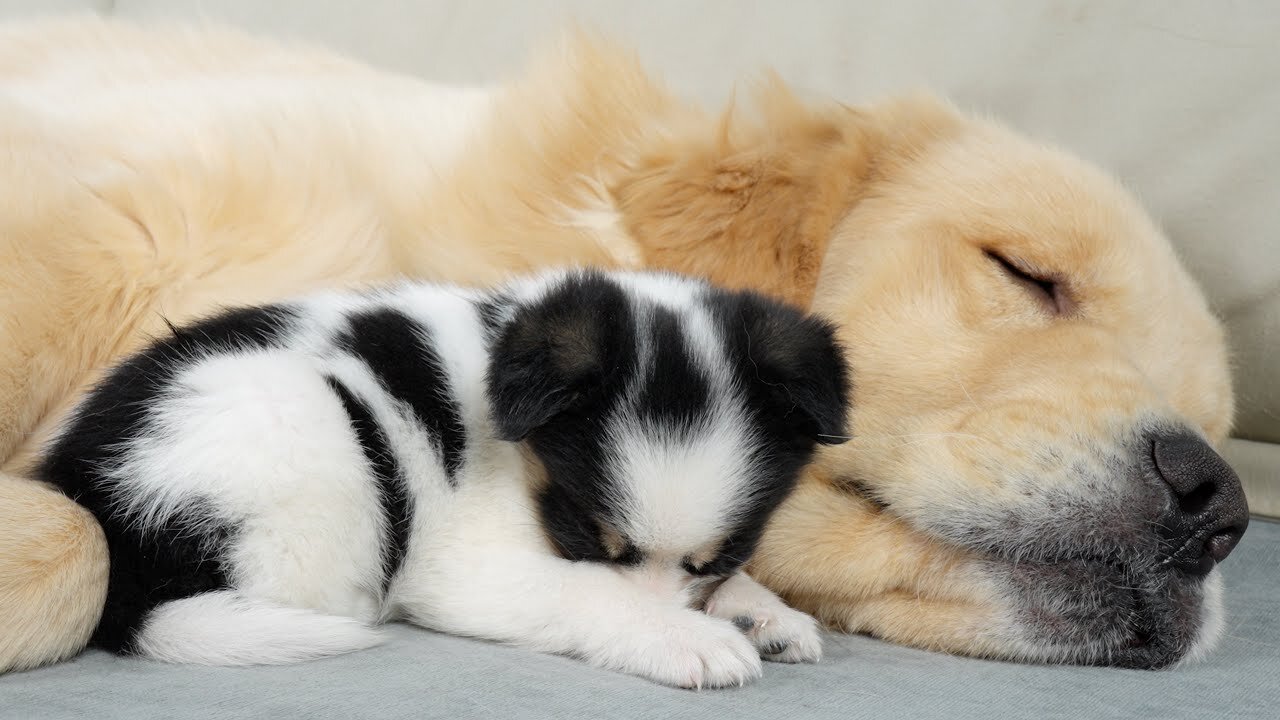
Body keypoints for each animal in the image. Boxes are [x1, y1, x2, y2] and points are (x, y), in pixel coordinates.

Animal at [42, 267, 849, 681]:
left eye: (723, 555)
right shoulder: (466, 567)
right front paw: (688, 636)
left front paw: (760, 610)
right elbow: (584, 592)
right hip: (314, 432)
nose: (692, 606)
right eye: (584, 536)